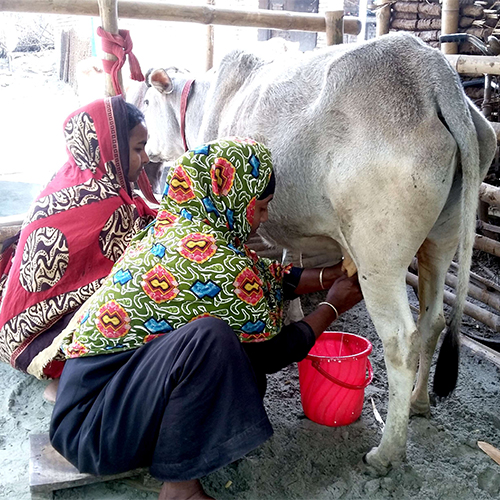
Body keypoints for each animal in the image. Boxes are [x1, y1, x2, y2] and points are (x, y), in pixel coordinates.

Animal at [131, 33, 498, 474]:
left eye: (146, 102)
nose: (147, 151)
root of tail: (431, 72)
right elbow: (289, 267)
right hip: (441, 241)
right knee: (434, 322)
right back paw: (419, 402)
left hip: (379, 259)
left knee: (401, 341)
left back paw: (387, 451)